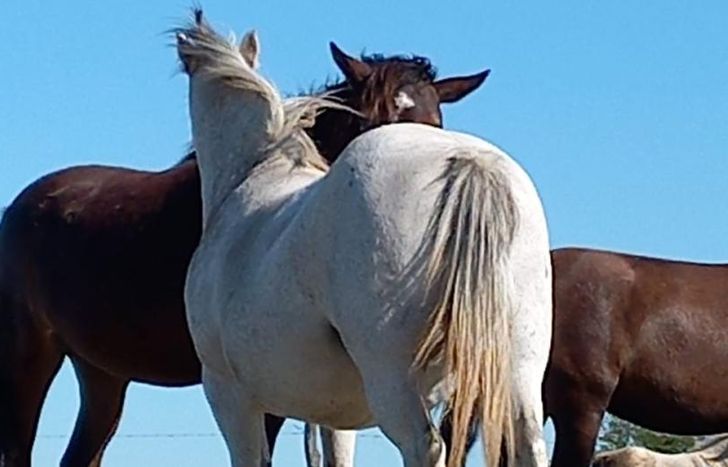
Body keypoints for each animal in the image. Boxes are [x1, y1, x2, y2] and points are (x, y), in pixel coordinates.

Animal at [178, 12, 551, 467]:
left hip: (393, 382)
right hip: (520, 376)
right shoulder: (334, 417)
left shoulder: (230, 396)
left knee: (425, 446)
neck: (254, 173)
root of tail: (468, 163)